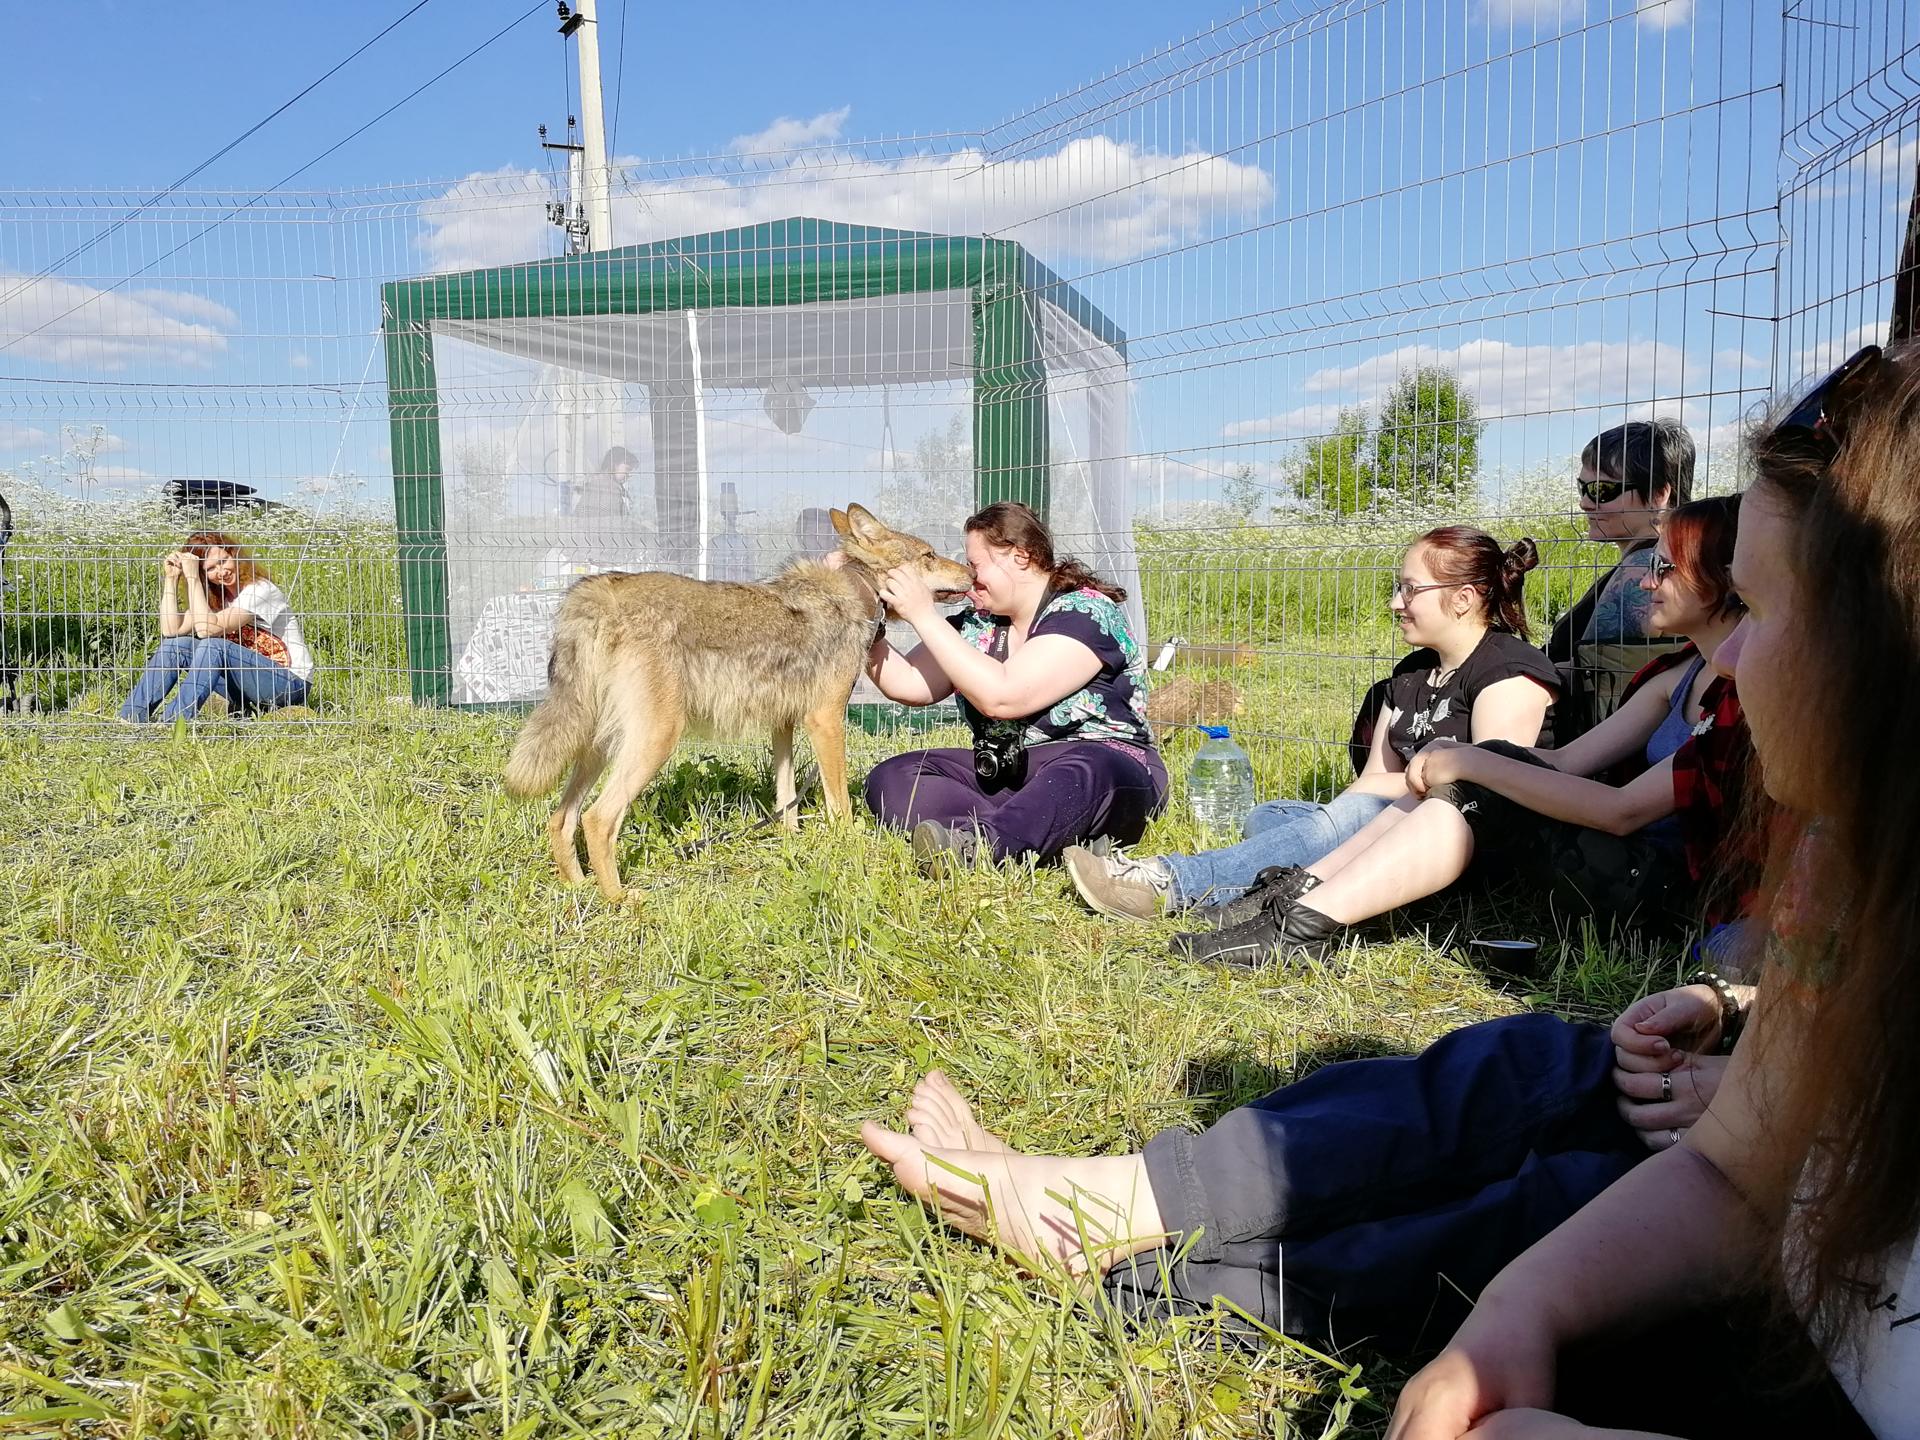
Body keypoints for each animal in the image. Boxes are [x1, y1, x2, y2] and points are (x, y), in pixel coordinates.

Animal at [503, 503, 975, 898]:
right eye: (930, 554)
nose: (971, 572)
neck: (854, 592)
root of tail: (598, 592)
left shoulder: (783, 724)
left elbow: (786, 798)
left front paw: (791, 844)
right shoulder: (825, 720)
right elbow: (839, 805)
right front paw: (851, 850)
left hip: (600, 746)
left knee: (561, 819)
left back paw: (578, 888)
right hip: (653, 742)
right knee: (597, 819)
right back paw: (620, 899)